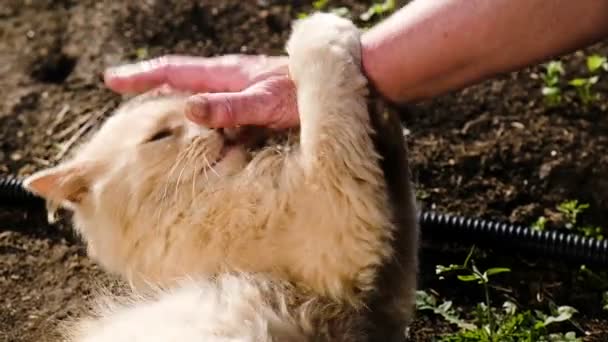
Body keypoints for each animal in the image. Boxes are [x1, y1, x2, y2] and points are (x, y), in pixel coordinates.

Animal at [23, 12, 418, 342]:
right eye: (160, 135)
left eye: (197, 104)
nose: (217, 126)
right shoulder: (337, 225)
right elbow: (323, 93)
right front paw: (320, 26)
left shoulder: (385, 292)